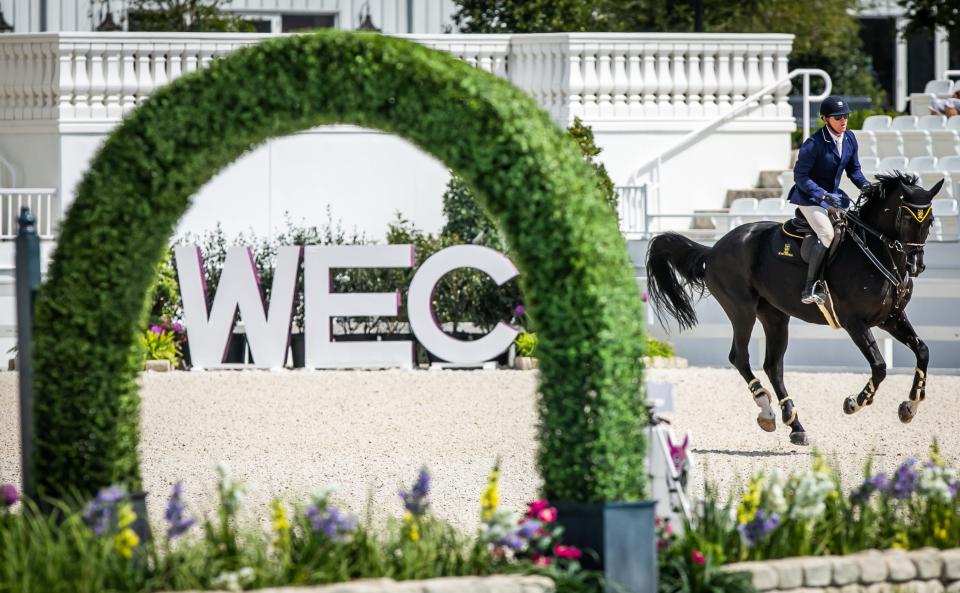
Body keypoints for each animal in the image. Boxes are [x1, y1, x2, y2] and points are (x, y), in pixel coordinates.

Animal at [648, 172, 940, 444]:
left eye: (930, 220)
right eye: (906, 219)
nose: (917, 265)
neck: (877, 253)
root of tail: (713, 250)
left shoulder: (891, 318)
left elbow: (923, 351)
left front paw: (909, 407)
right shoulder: (854, 322)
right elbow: (879, 366)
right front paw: (854, 403)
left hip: (775, 317)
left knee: (773, 366)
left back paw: (794, 424)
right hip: (742, 311)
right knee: (740, 357)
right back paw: (766, 411)